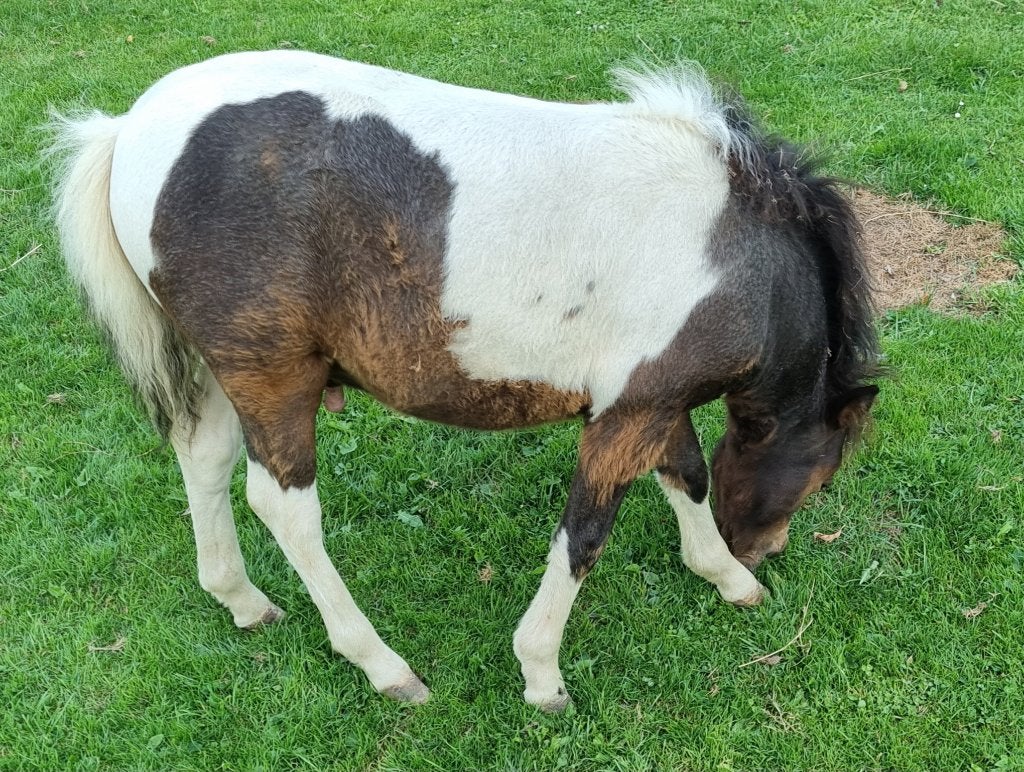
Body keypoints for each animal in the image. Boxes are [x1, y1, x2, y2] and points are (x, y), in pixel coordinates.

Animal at [51, 50, 878, 712]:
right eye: (823, 475)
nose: (761, 551)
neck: (738, 257)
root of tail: (127, 131)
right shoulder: (629, 414)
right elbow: (585, 535)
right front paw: (542, 676)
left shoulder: (650, 402)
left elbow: (688, 477)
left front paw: (724, 578)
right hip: (275, 376)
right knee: (283, 505)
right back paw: (383, 666)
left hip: (231, 371)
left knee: (205, 459)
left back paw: (242, 600)